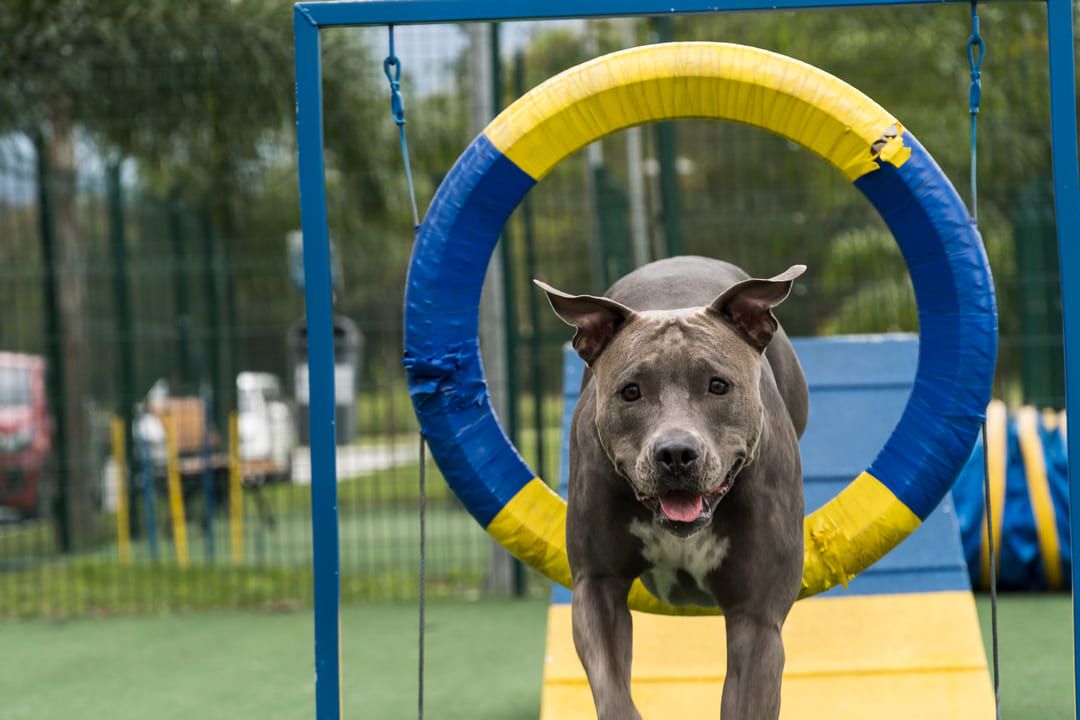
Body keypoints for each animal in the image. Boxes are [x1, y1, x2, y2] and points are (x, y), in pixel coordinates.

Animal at [535, 255, 807, 716]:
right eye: (630, 391)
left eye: (718, 385)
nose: (676, 453)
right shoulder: (596, 584)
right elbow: (612, 687)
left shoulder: (757, 616)